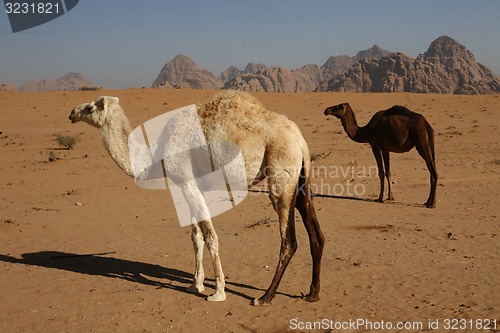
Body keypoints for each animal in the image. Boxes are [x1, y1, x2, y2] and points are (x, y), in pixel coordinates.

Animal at [69, 90, 324, 304]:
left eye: (90, 107)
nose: (72, 112)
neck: (157, 154)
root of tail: (300, 140)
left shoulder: (187, 181)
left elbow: (210, 237)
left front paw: (218, 292)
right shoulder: (190, 186)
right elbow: (196, 237)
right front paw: (195, 285)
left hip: (280, 173)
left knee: (289, 240)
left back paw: (265, 297)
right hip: (301, 178)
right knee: (317, 235)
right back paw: (312, 293)